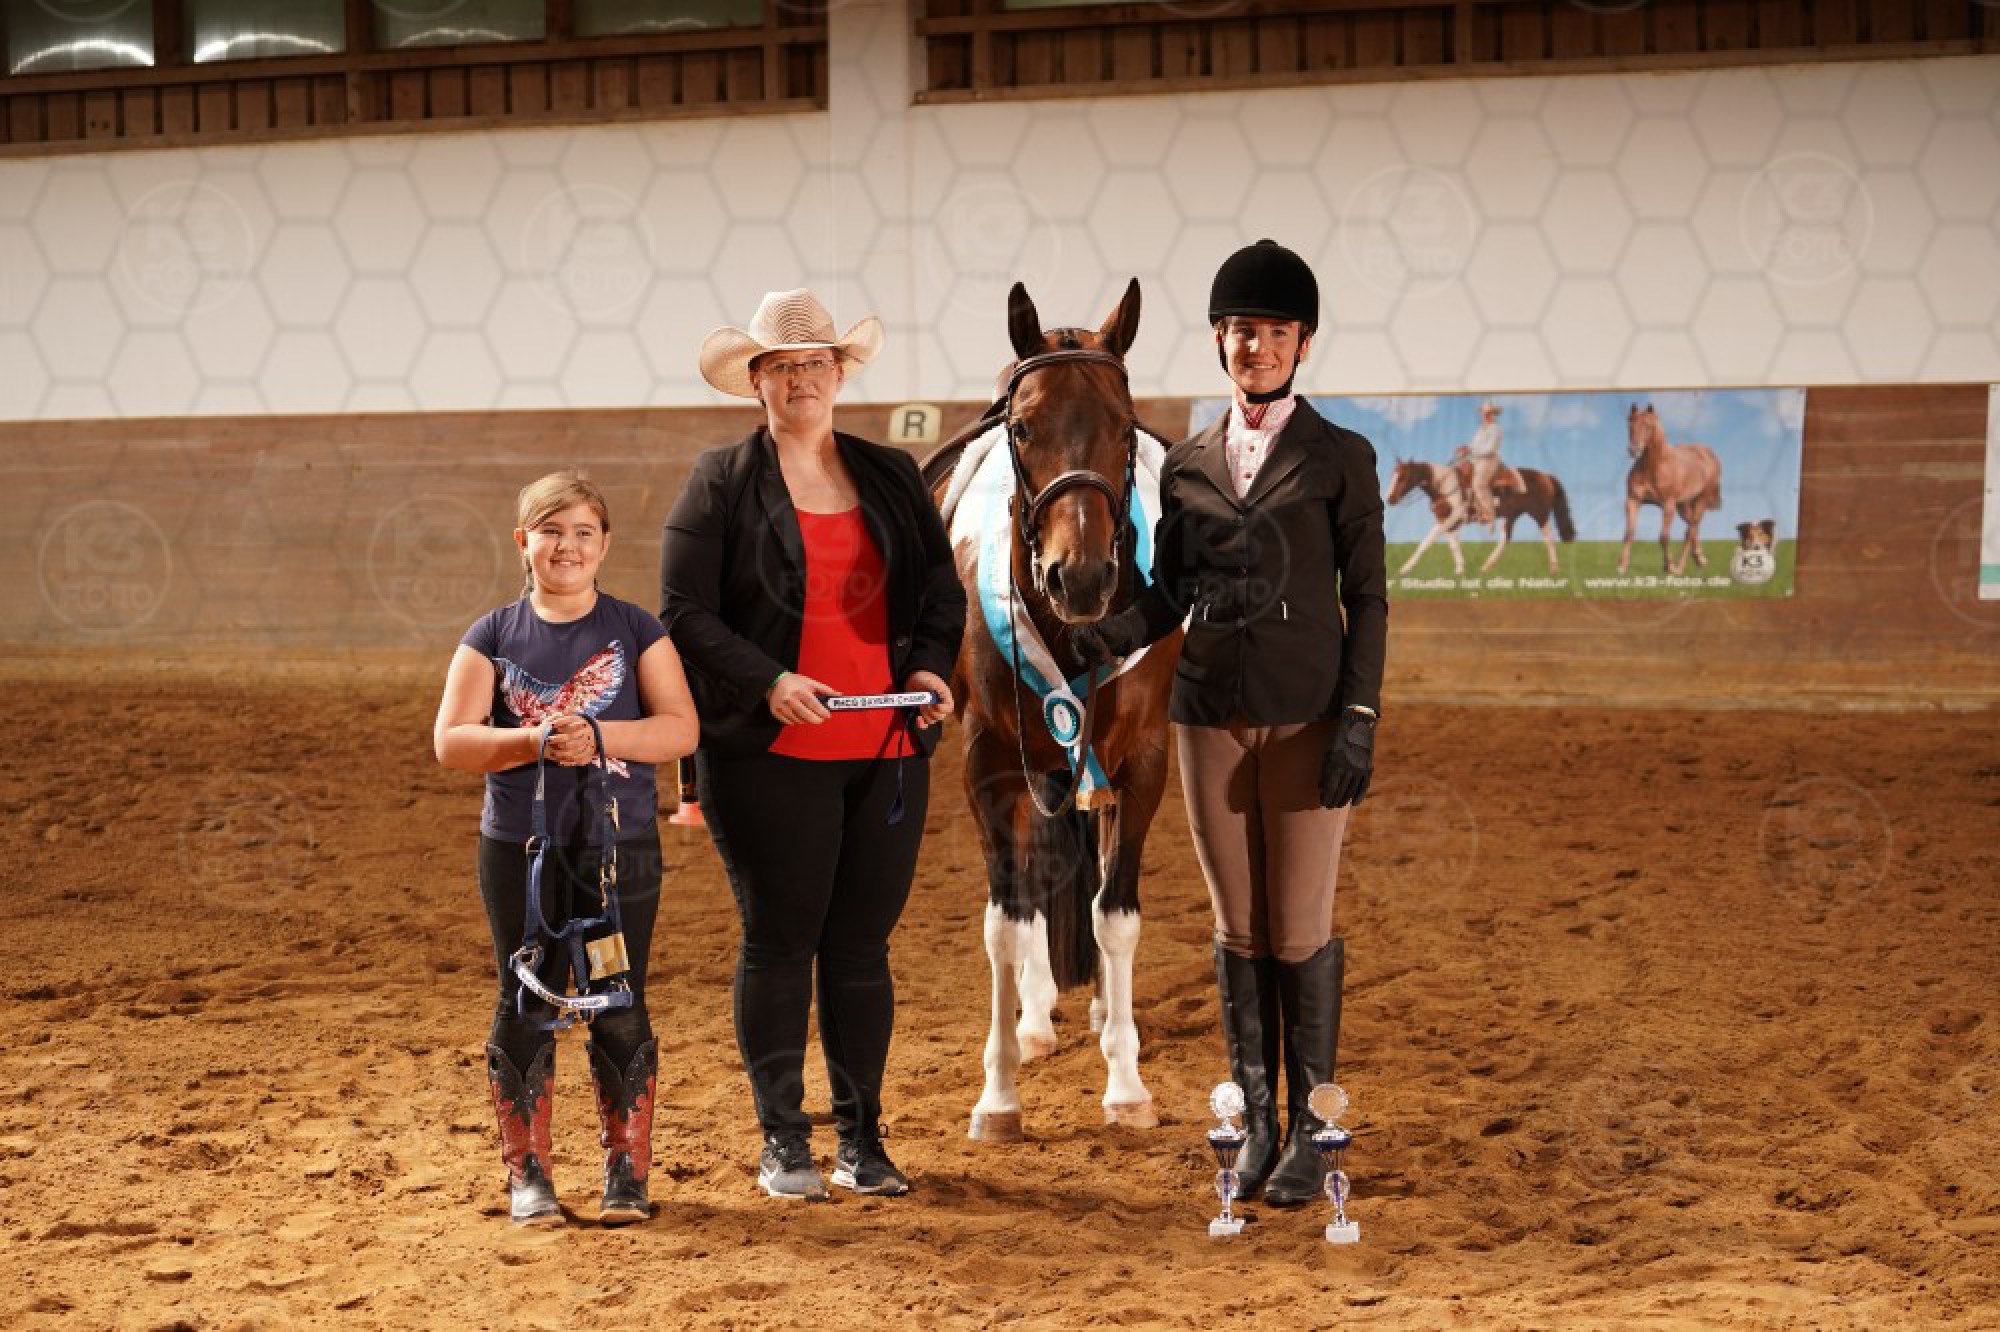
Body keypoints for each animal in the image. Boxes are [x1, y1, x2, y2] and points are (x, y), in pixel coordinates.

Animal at [921, 278, 1180, 1142]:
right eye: (1024, 426)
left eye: (1124, 425)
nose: (1083, 576)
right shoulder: (992, 764)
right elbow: (1006, 919)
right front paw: (998, 1096)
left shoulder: (1142, 761)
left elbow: (1115, 913)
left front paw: (1126, 1085)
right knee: (1035, 874)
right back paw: (1035, 1020)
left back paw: (1099, 1012)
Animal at [1385, 458, 1576, 575]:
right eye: (1393, 475)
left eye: (1402, 477)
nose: (1390, 499)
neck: (1446, 486)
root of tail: (1546, 476)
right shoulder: (1446, 521)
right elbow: (1453, 545)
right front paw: (1460, 570)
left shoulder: (1451, 519)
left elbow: (1426, 542)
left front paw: (1404, 569)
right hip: (1512, 516)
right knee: (1505, 538)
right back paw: (1486, 567)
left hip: (1540, 514)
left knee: (1548, 539)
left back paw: (1554, 569)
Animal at [1619, 403, 1723, 575]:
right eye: (1630, 425)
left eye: (1648, 426)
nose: (1633, 450)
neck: (1655, 466)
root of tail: (1709, 454)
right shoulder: (1633, 501)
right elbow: (1629, 533)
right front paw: (1622, 566)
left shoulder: (1668, 504)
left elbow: (1664, 537)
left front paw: (1669, 566)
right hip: (1683, 505)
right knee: (1692, 526)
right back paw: (1699, 558)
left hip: (1700, 500)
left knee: (1690, 530)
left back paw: (1680, 567)